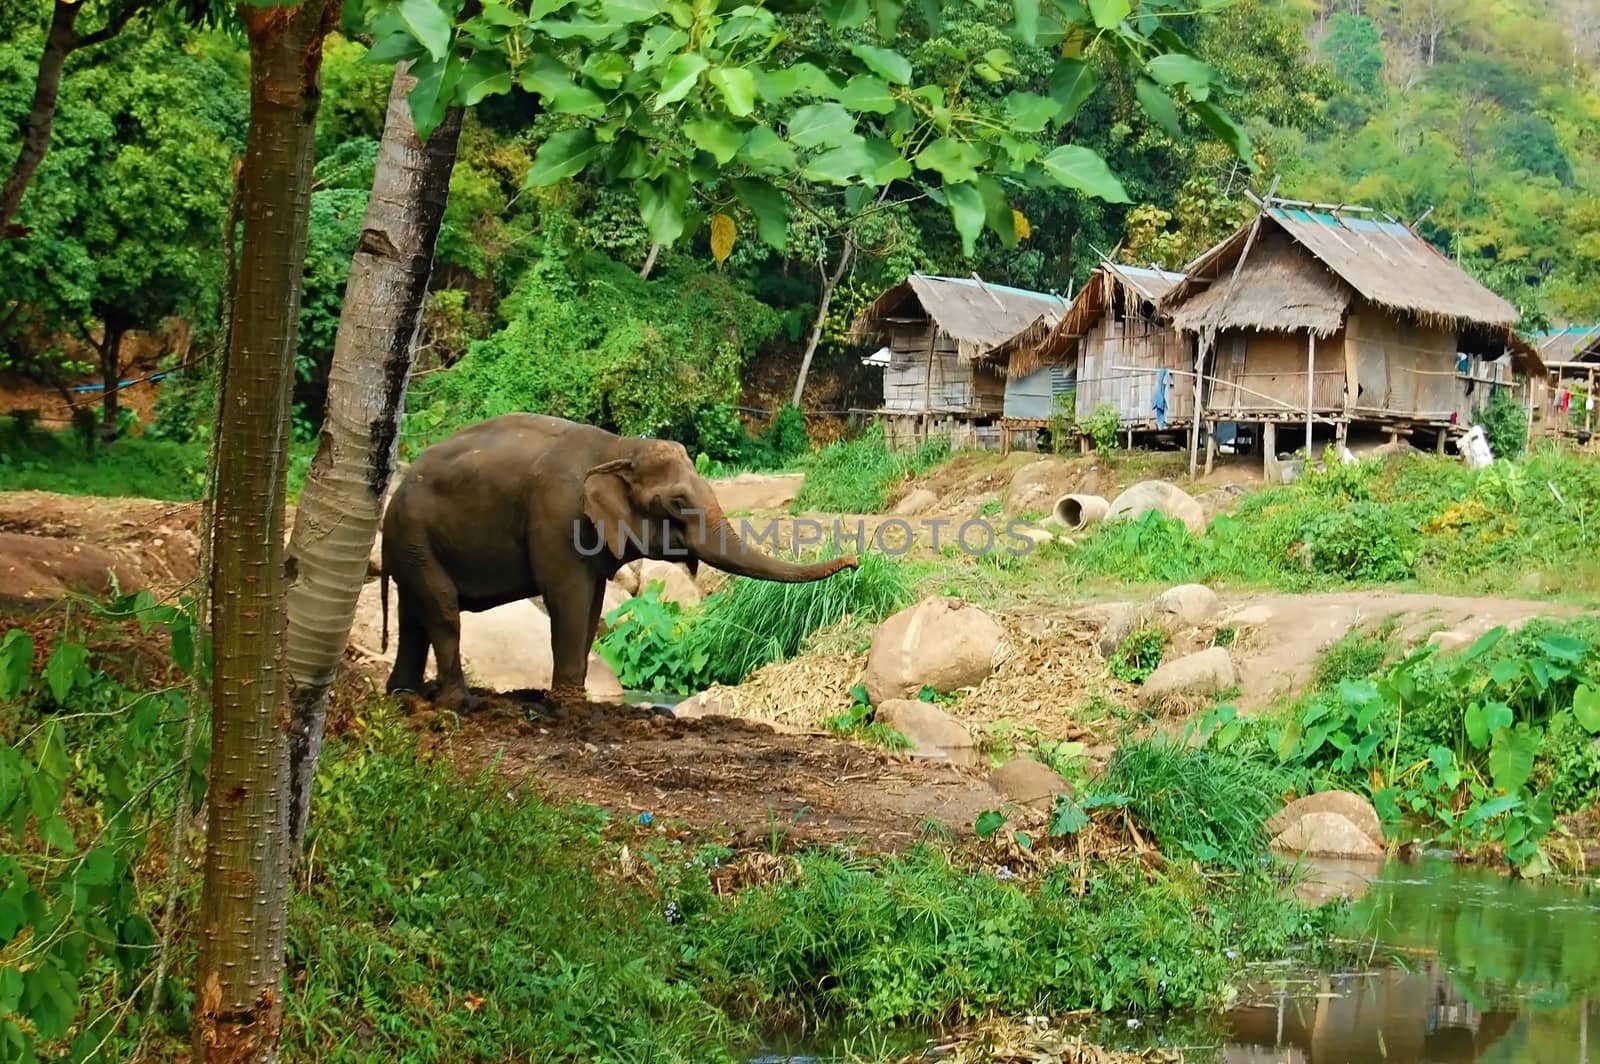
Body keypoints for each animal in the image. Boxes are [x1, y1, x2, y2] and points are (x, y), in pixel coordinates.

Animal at [380, 412, 864, 704]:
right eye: (676, 503)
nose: (856, 562)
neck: (618, 448)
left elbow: (593, 603)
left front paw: (574, 700)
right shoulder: (556, 517)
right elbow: (569, 599)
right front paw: (567, 706)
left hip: (413, 545)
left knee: (416, 612)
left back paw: (403, 696)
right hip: (414, 535)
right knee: (443, 611)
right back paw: (458, 704)